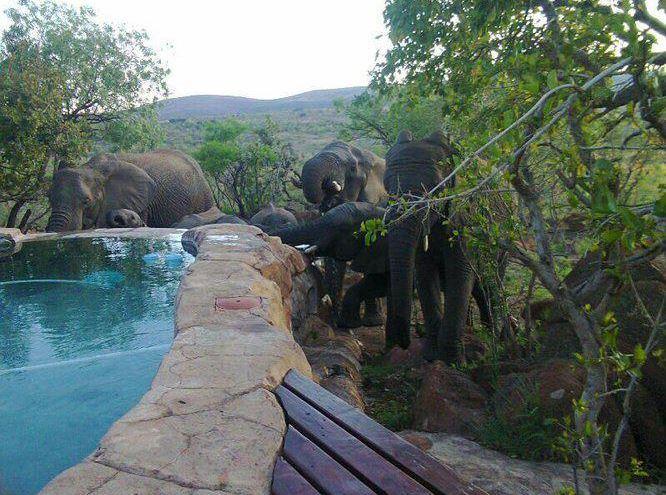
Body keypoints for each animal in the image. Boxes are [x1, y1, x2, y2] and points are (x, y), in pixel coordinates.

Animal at [384, 130, 475, 363]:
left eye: (436, 191)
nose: (403, 344)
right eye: (388, 190)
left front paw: (453, 362)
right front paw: (431, 356)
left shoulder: (463, 217)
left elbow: (460, 271)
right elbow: (424, 273)